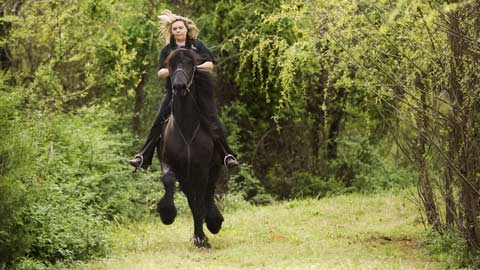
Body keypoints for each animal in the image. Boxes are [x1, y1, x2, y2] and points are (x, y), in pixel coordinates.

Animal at [158, 48, 225, 247]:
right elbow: (168, 180)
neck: (186, 128)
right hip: (186, 177)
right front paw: (167, 213)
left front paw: (202, 237)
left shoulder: (201, 168)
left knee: (209, 193)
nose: (179, 86)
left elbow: (200, 202)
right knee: (193, 200)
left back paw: (213, 221)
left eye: (190, 64)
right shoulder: (171, 163)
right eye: (171, 64)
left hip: (213, 167)